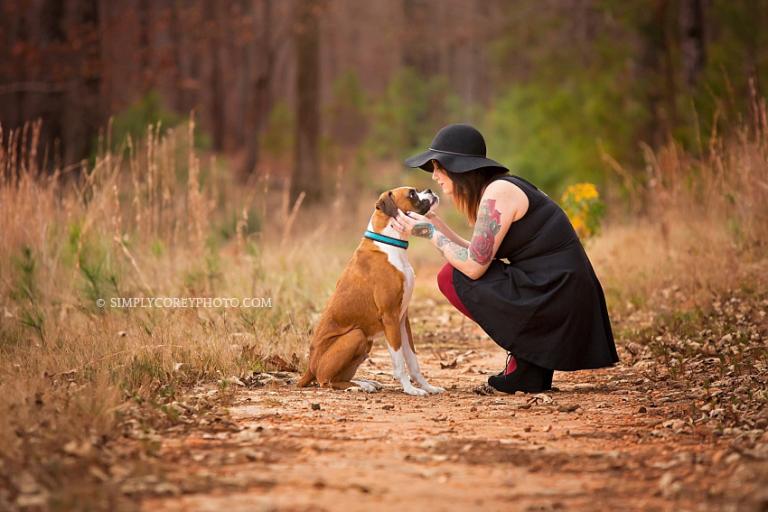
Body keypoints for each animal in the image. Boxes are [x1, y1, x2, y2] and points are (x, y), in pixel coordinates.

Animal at [296, 185, 448, 396]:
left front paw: (426, 387)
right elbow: (400, 363)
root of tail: (309, 367)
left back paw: (365, 382)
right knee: (325, 381)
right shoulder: (390, 317)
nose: (430, 190)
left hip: (366, 343)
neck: (390, 244)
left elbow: (413, 361)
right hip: (356, 335)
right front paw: (410, 389)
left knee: (339, 378)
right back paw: (359, 386)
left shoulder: (403, 319)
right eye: (412, 194)